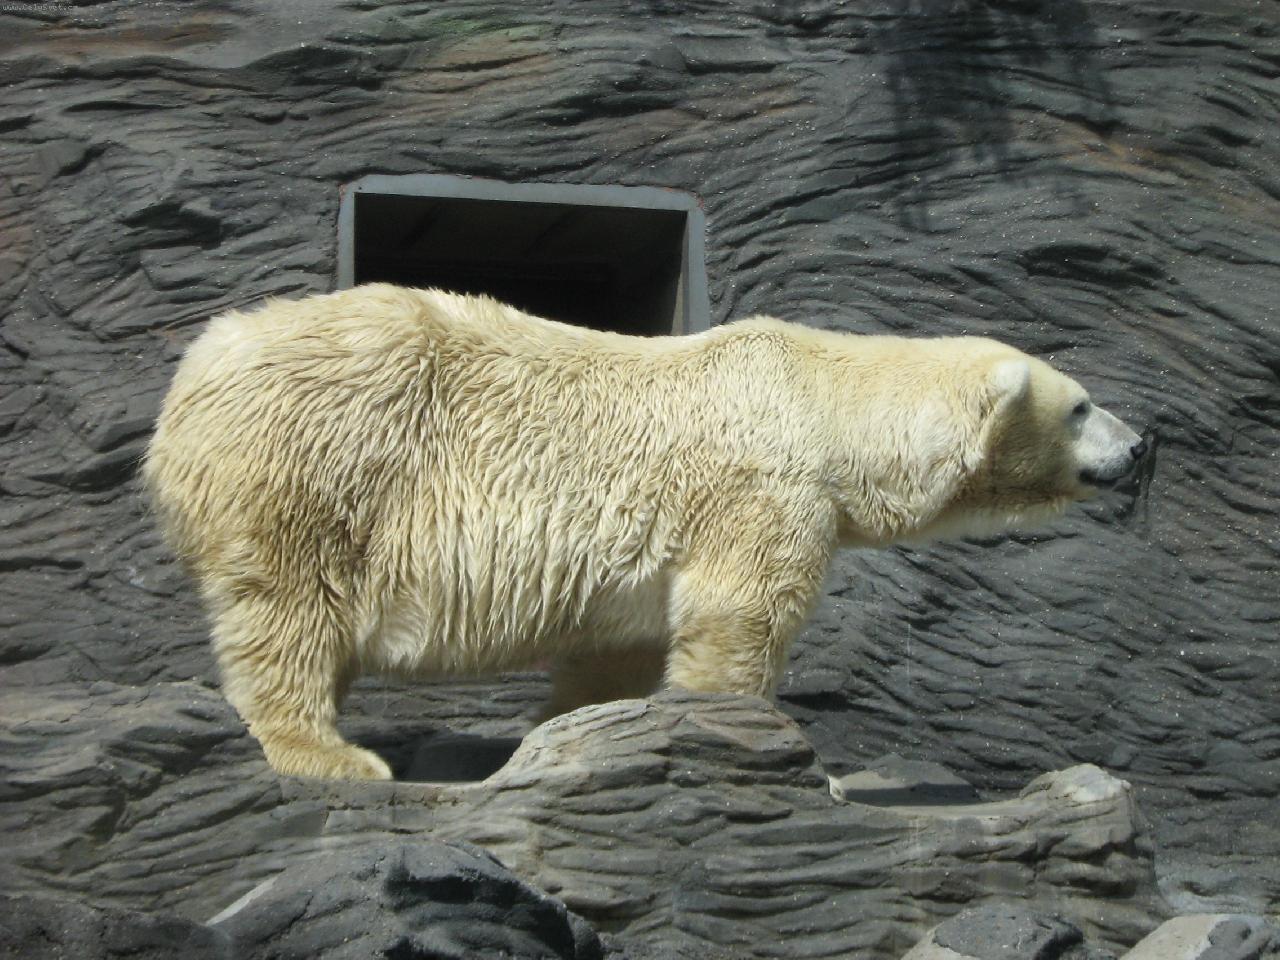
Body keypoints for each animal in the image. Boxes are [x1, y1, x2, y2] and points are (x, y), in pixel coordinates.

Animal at [144, 284, 1145, 781]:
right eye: (1081, 406)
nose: (1143, 445)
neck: (813, 400)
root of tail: (195, 370)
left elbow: (615, 652)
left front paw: (568, 734)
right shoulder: (764, 492)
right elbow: (738, 618)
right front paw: (774, 752)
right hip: (322, 459)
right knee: (288, 613)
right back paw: (330, 755)